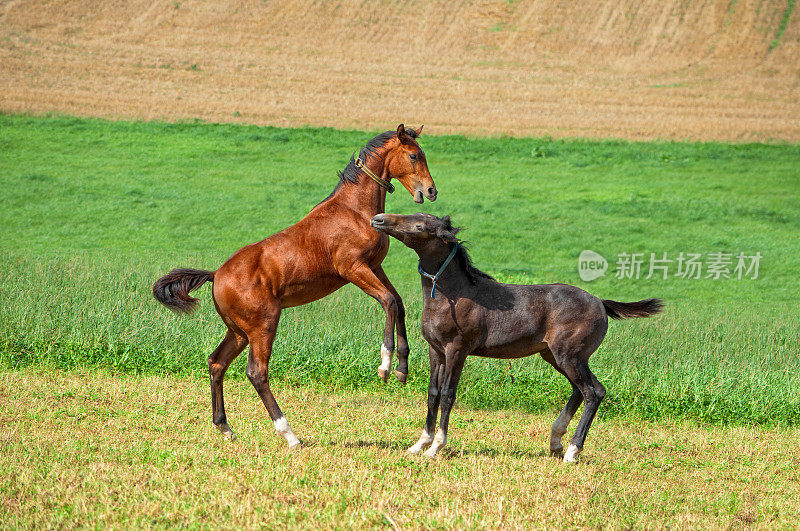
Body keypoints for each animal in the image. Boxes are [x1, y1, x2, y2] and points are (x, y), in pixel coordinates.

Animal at [150, 124, 438, 448]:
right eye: (414, 155)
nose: (430, 191)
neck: (353, 210)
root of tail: (217, 275)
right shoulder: (353, 269)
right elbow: (388, 301)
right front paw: (385, 365)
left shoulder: (375, 267)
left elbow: (398, 303)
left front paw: (402, 369)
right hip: (263, 326)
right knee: (256, 372)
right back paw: (289, 434)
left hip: (239, 332)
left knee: (216, 363)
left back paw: (225, 427)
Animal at [368, 212, 664, 462]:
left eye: (420, 226)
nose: (378, 219)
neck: (452, 295)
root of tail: (601, 303)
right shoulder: (436, 350)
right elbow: (432, 393)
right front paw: (419, 444)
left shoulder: (457, 350)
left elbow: (448, 395)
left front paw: (436, 447)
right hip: (555, 356)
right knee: (582, 390)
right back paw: (556, 442)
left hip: (569, 356)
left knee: (593, 392)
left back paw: (572, 451)